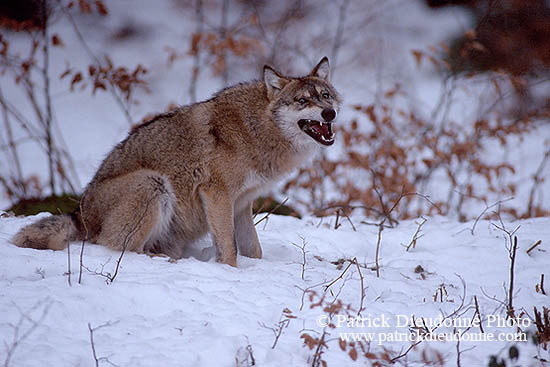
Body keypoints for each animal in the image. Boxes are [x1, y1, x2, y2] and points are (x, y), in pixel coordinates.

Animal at [11, 56, 340, 266]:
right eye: (303, 101)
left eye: (325, 96)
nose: (330, 113)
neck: (257, 128)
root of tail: (79, 214)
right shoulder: (217, 194)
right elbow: (229, 250)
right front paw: (230, 272)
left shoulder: (242, 203)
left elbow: (253, 250)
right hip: (153, 184)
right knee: (115, 247)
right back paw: (163, 260)